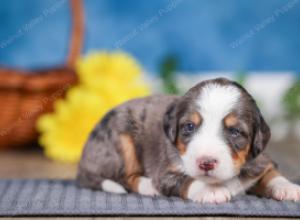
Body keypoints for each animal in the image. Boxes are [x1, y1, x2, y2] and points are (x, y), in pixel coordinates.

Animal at [76, 78, 298, 204]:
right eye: (189, 127)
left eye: (235, 131)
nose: (206, 163)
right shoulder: (165, 172)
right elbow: (189, 180)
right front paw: (211, 191)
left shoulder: (260, 161)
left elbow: (272, 174)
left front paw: (288, 188)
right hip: (121, 138)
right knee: (125, 177)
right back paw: (149, 187)